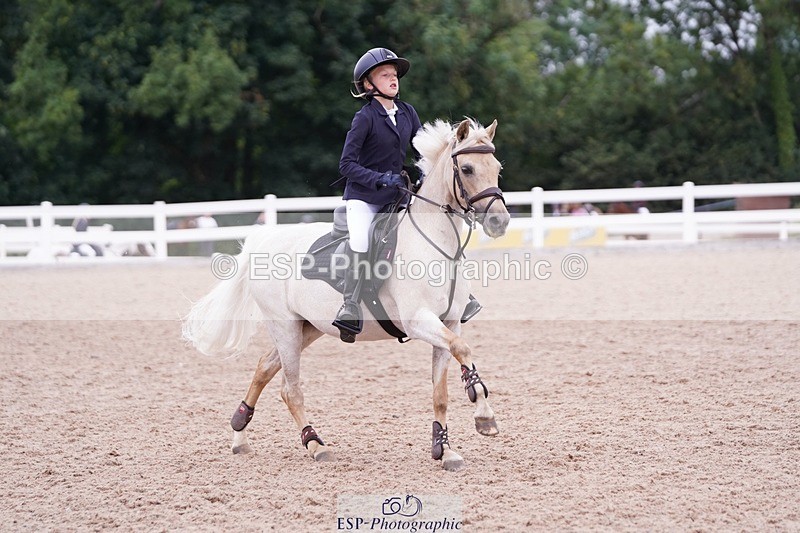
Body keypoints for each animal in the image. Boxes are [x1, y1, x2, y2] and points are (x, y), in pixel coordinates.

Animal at [182, 118, 510, 470]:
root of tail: (263, 240)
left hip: (309, 327)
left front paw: (446, 448)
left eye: (497, 168)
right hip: (284, 326)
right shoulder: (419, 321)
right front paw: (484, 416)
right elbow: (462, 350)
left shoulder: (449, 323)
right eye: (467, 168)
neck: (436, 244)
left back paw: (240, 436)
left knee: (264, 368)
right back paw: (315, 445)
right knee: (290, 389)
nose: (499, 222)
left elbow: (442, 390)